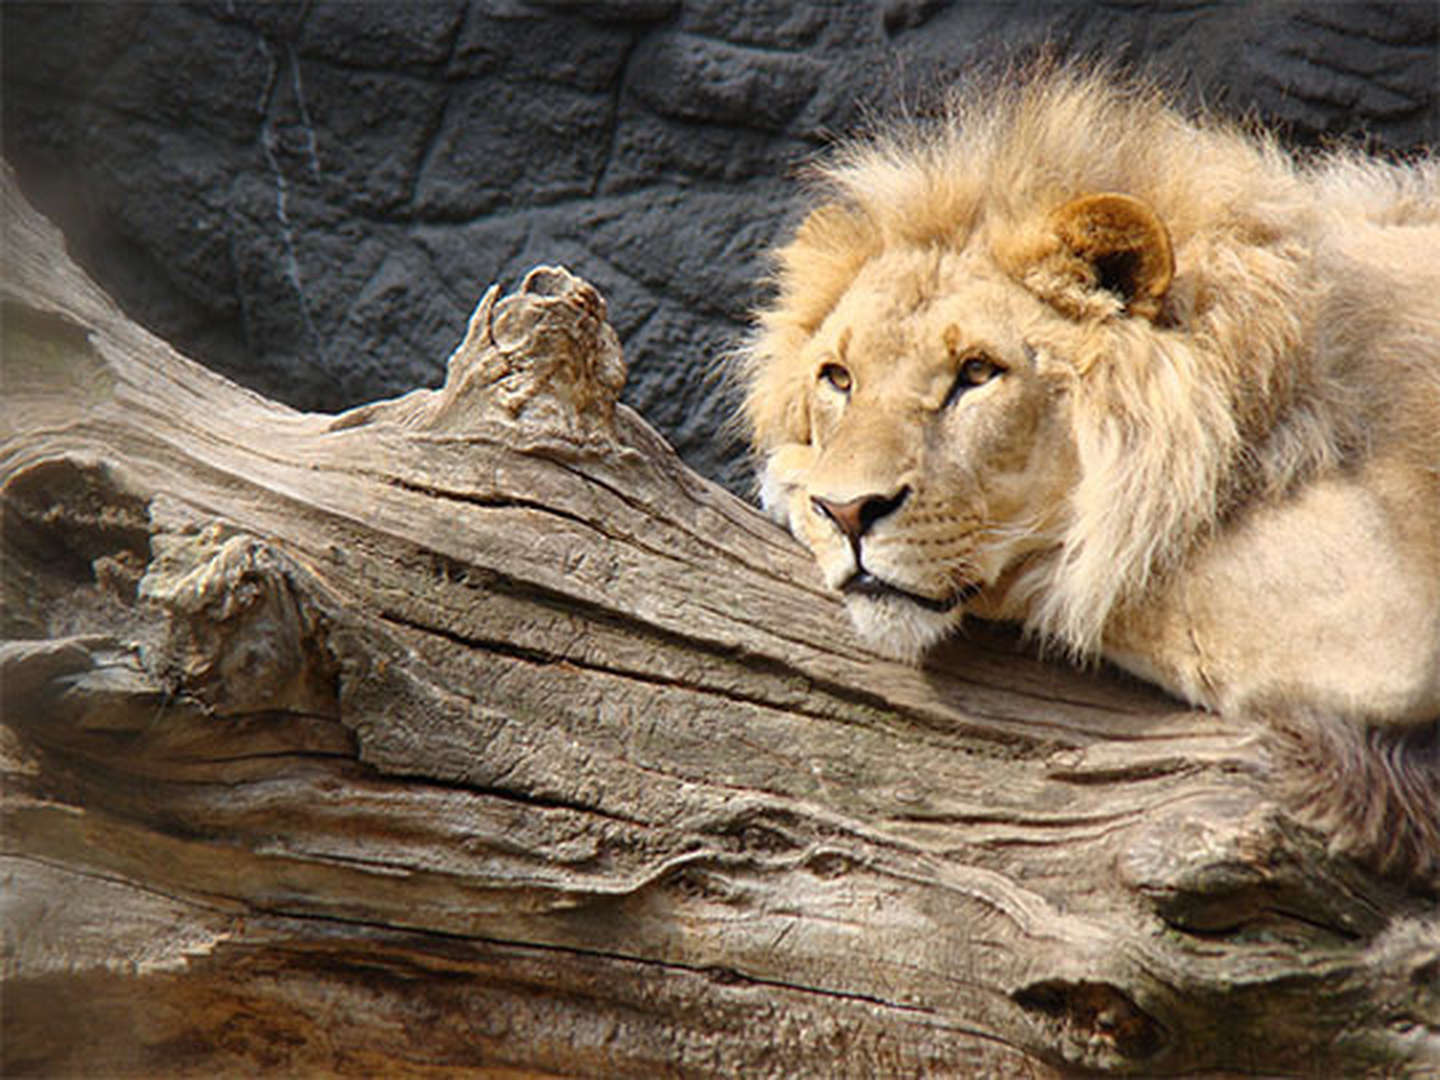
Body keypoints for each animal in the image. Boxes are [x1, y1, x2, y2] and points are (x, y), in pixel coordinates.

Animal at [737, 67, 1440, 887]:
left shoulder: (1382, 613)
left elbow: (1088, 570)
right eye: (838, 377)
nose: (847, 512)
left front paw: (787, 477)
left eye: (977, 372)